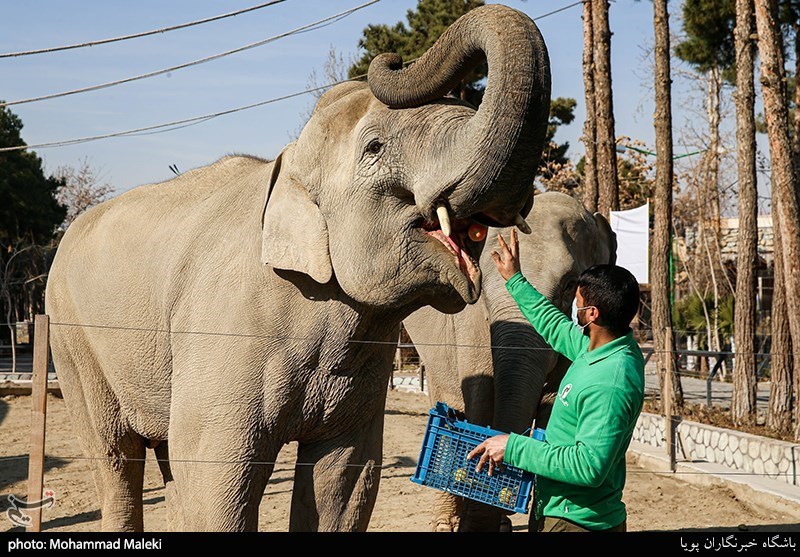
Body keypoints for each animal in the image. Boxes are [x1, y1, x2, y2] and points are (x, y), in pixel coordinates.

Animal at [43, 5, 552, 536]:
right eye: (374, 148)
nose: (391, 57)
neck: (286, 163)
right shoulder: (225, 332)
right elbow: (216, 476)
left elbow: (344, 482)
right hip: (74, 343)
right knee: (116, 459)